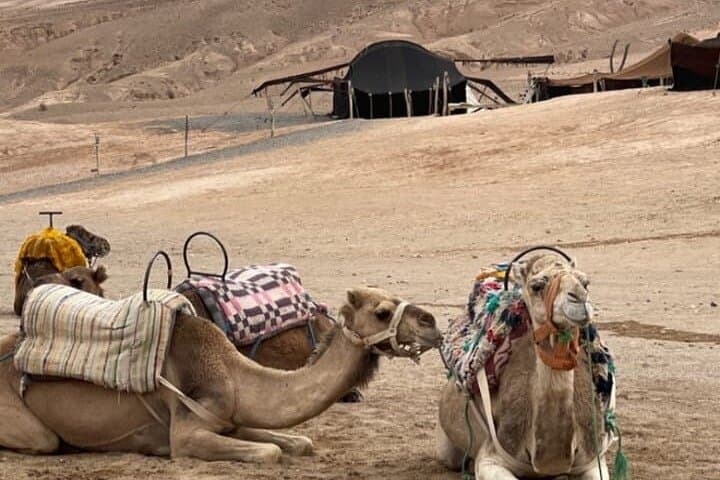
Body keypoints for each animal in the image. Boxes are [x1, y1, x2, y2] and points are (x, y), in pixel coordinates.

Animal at [0, 286, 441, 462]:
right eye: (382, 312)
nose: (432, 323)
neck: (231, 371)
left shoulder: (232, 419)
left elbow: (298, 443)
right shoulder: (186, 433)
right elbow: (270, 453)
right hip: (29, 426)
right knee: (42, 441)